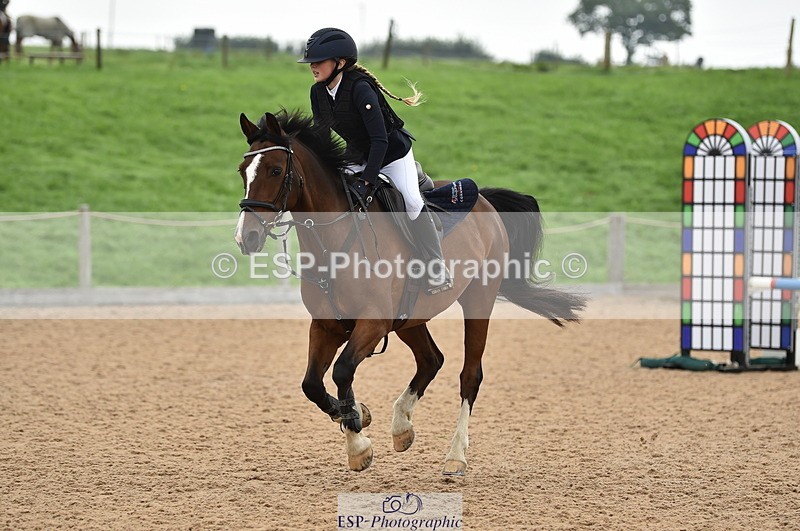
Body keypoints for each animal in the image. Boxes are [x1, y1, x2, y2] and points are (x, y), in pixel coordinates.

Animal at [233, 109, 585, 474]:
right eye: (242, 171)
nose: (247, 238)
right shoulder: (326, 325)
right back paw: (401, 426)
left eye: (275, 170)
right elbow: (312, 385)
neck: (335, 242)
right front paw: (357, 415)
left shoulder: (372, 323)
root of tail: (485, 201)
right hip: (410, 318)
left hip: (478, 300)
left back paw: (455, 455)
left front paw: (357, 441)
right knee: (431, 359)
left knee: (469, 375)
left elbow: (342, 370)